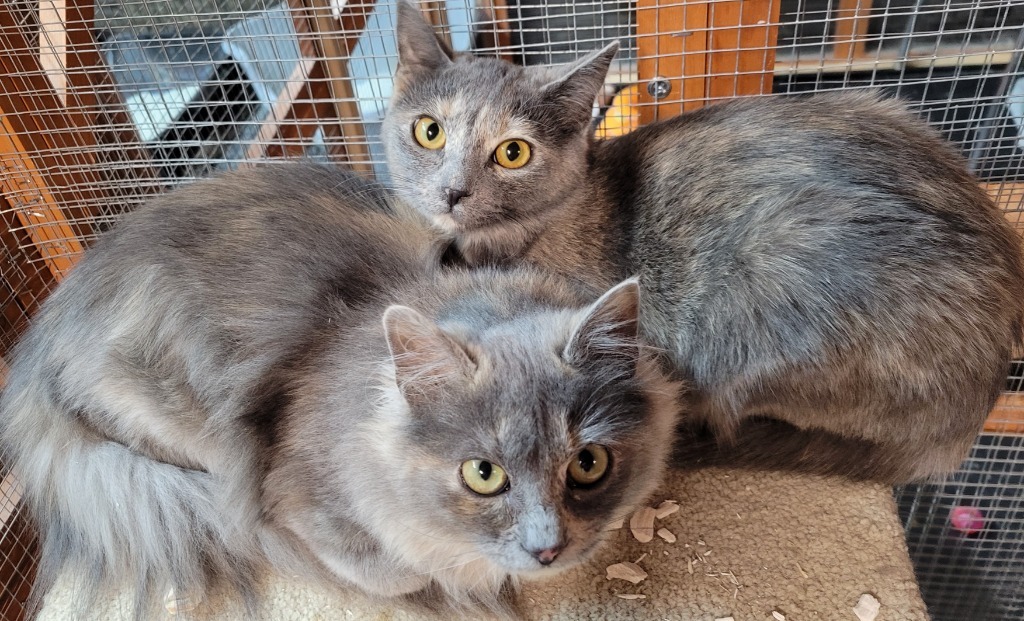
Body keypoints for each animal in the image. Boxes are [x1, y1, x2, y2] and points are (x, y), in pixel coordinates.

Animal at [4, 162, 684, 618]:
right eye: (483, 474)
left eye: (588, 464)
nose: (548, 549)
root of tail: (37, 346)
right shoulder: (296, 496)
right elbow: (390, 573)